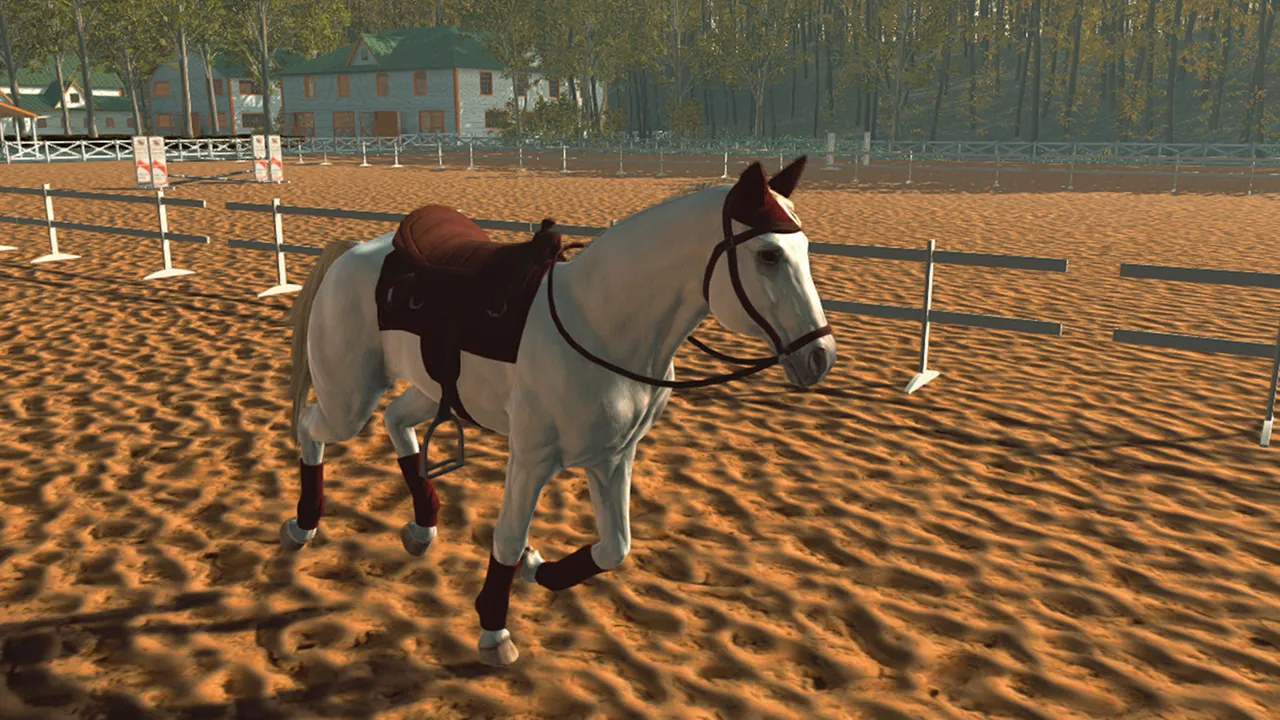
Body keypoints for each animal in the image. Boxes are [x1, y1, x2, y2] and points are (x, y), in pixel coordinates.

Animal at [280, 156, 837, 666]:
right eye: (769, 255)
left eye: (807, 249)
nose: (819, 357)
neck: (598, 324)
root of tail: (353, 251)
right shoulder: (531, 459)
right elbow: (508, 537)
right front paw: (493, 630)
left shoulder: (612, 457)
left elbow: (614, 547)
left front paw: (536, 567)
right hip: (349, 398)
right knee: (312, 426)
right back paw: (302, 526)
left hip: (431, 390)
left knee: (396, 419)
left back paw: (421, 527)